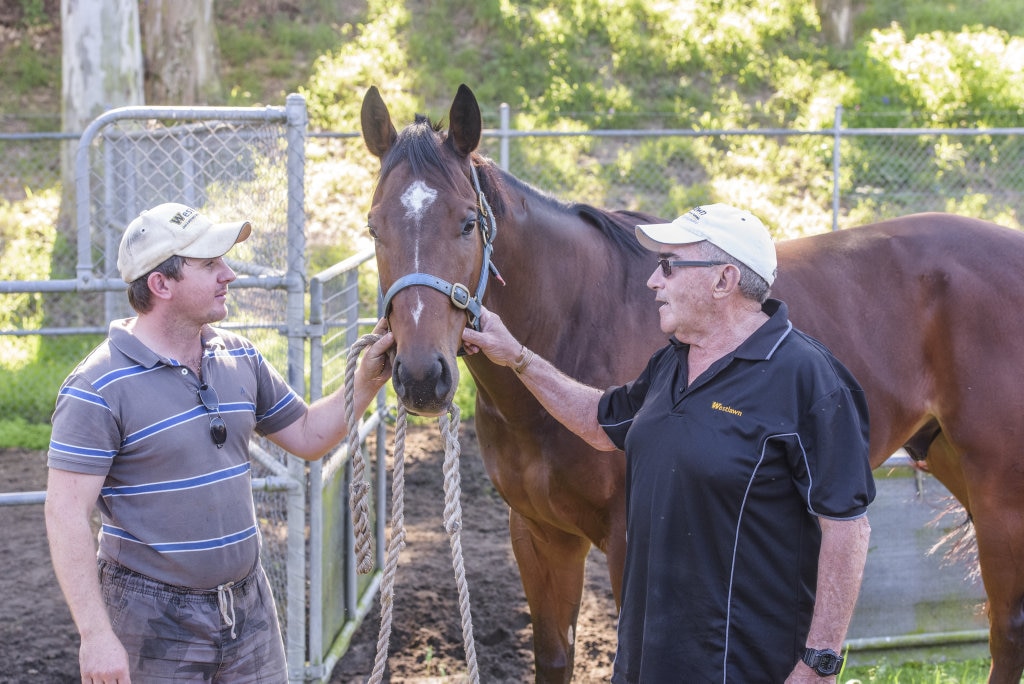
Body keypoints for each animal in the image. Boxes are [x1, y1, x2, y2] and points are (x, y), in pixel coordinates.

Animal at [358, 85, 1024, 684]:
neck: (580, 321)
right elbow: (553, 659)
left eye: (468, 223)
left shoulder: (629, 540)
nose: (421, 375)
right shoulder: (540, 537)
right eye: (373, 228)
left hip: (1000, 494)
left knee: (1007, 630)